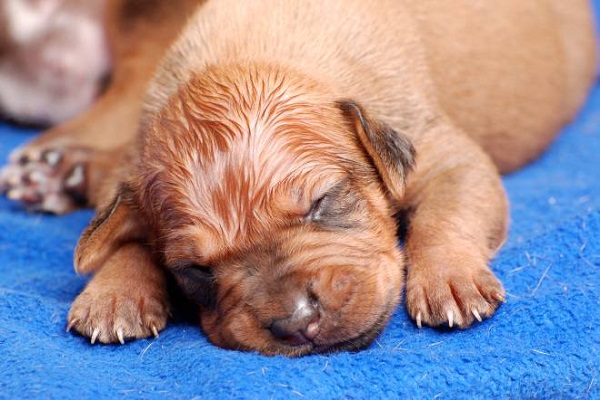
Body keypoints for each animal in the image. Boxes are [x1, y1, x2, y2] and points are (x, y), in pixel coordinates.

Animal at [0, 0, 596, 356]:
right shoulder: (142, 162)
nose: (299, 322)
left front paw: (449, 278)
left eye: (324, 203)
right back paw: (55, 173)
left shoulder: (444, 154)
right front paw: (114, 293)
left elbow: (447, 213)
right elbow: (124, 228)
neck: (256, 53)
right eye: (194, 269)